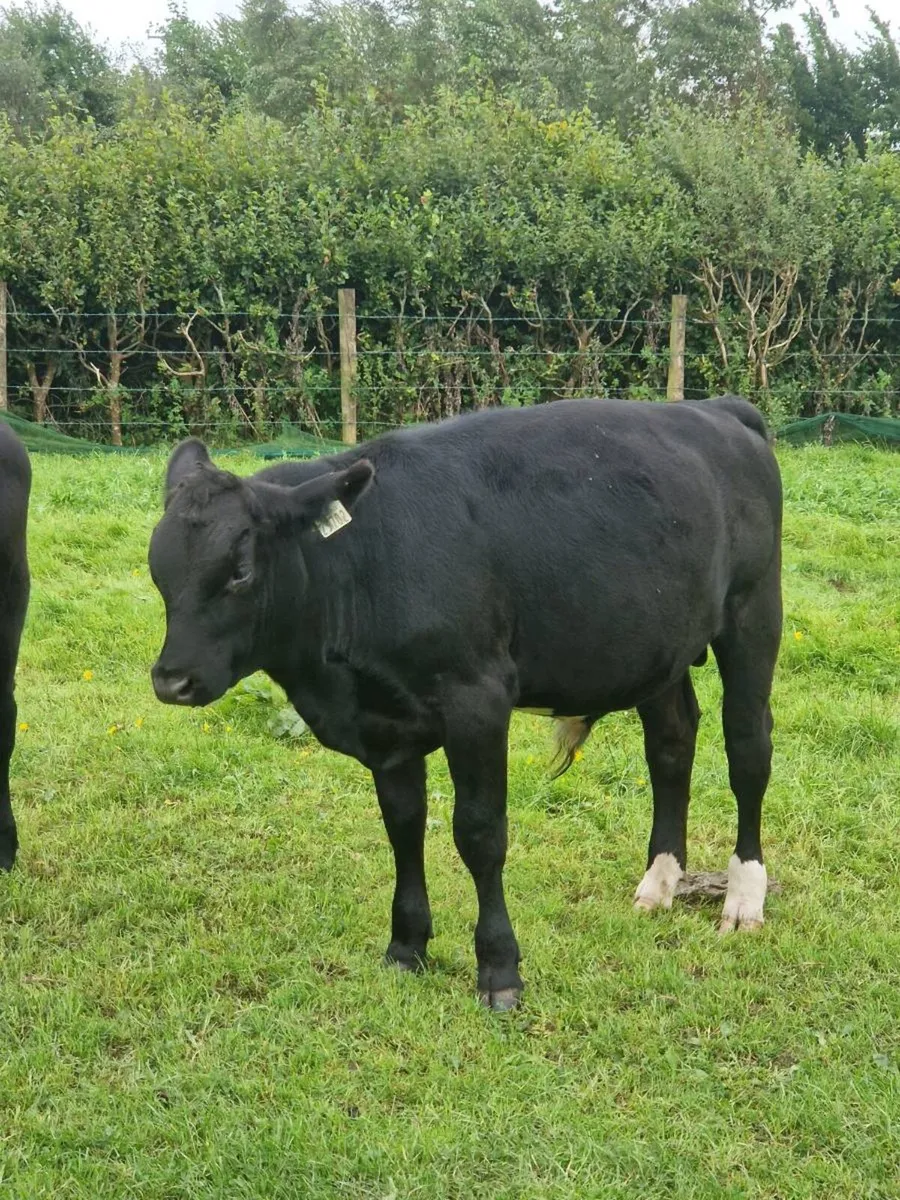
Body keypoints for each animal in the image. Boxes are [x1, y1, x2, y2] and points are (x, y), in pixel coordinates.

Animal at [149, 396, 782, 1011]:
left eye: (240, 570)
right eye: (158, 570)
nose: (170, 681)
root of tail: (719, 408)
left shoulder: (477, 701)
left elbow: (479, 835)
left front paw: (499, 969)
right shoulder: (387, 726)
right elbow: (403, 827)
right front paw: (406, 947)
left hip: (753, 613)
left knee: (748, 749)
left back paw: (744, 897)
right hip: (658, 645)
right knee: (671, 745)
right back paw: (659, 884)